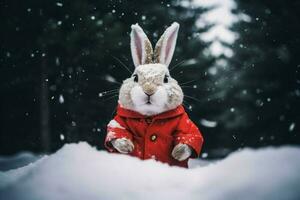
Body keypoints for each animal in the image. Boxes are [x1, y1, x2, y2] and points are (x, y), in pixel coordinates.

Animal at [103, 21, 204, 167]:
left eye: (166, 79)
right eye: (135, 78)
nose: (149, 90)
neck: (150, 116)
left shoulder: (185, 123)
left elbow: (191, 135)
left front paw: (177, 153)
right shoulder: (118, 122)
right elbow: (115, 132)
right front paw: (127, 146)